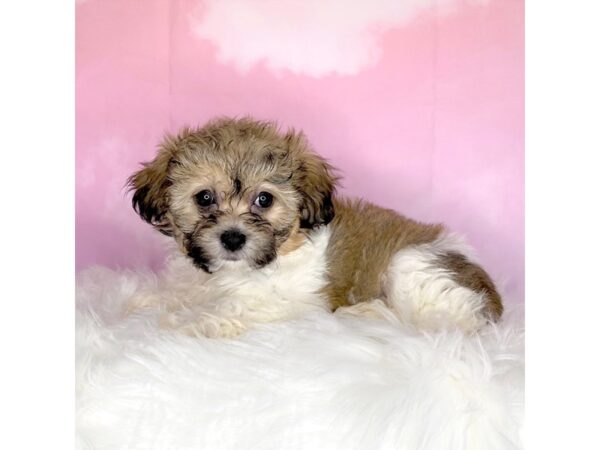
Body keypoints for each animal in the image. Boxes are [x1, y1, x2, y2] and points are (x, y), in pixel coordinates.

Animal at [129, 118, 504, 336]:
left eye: (264, 200)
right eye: (204, 198)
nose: (233, 238)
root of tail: (492, 302)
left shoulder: (291, 300)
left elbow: (238, 306)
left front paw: (193, 322)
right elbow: (179, 290)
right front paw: (145, 298)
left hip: (411, 266)